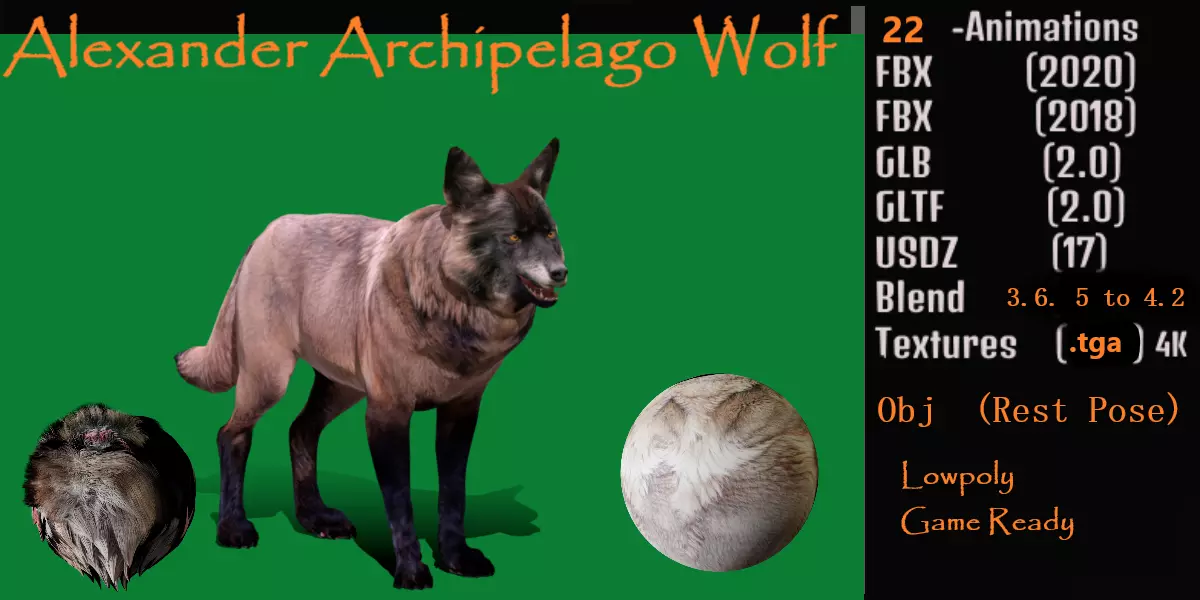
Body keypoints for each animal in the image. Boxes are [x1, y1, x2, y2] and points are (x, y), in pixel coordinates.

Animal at [174, 139, 567, 590]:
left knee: (300, 431)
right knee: (231, 435)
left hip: (341, 389)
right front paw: (411, 571)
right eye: (513, 236)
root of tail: (262, 236)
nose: (561, 272)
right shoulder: (387, 415)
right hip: (270, 380)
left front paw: (455, 559)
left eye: (550, 233)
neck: (453, 313)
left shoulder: (460, 413)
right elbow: (400, 503)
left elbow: (453, 494)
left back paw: (315, 518)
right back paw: (233, 528)